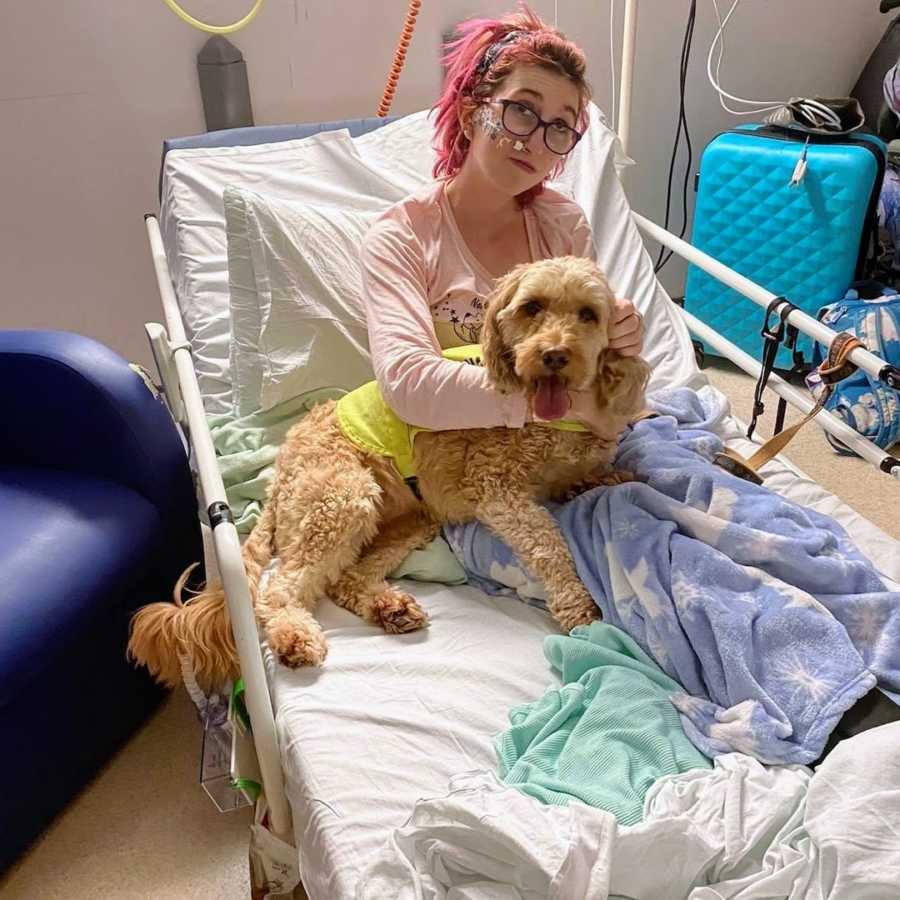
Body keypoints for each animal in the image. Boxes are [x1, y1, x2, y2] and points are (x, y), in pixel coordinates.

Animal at [128, 256, 648, 692]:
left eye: (588, 314)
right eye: (532, 307)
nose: (555, 355)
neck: (553, 420)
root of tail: (280, 470)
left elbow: (594, 474)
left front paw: (609, 477)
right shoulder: (497, 489)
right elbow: (548, 545)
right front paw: (576, 602)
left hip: (409, 518)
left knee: (344, 579)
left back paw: (389, 608)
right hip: (342, 497)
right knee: (282, 586)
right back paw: (294, 636)